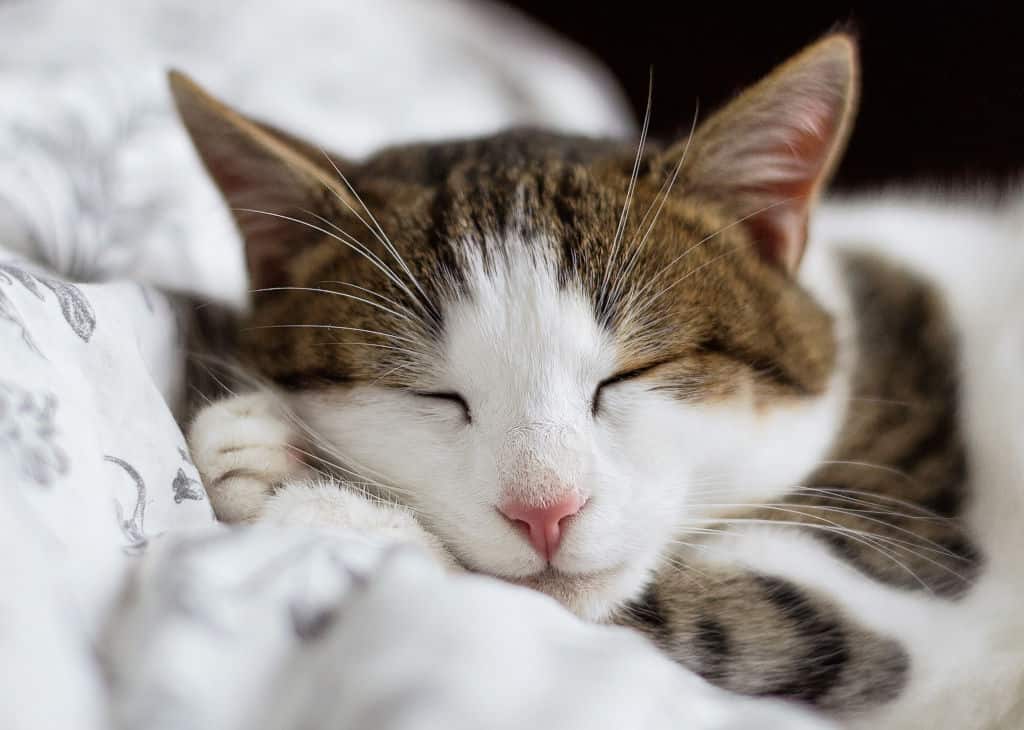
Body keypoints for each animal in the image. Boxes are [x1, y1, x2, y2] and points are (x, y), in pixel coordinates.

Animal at [174, 35, 1024, 728]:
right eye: (430, 393)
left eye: (631, 375)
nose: (544, 512)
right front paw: (263, 447)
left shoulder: (923, 596)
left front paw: (334, 508)